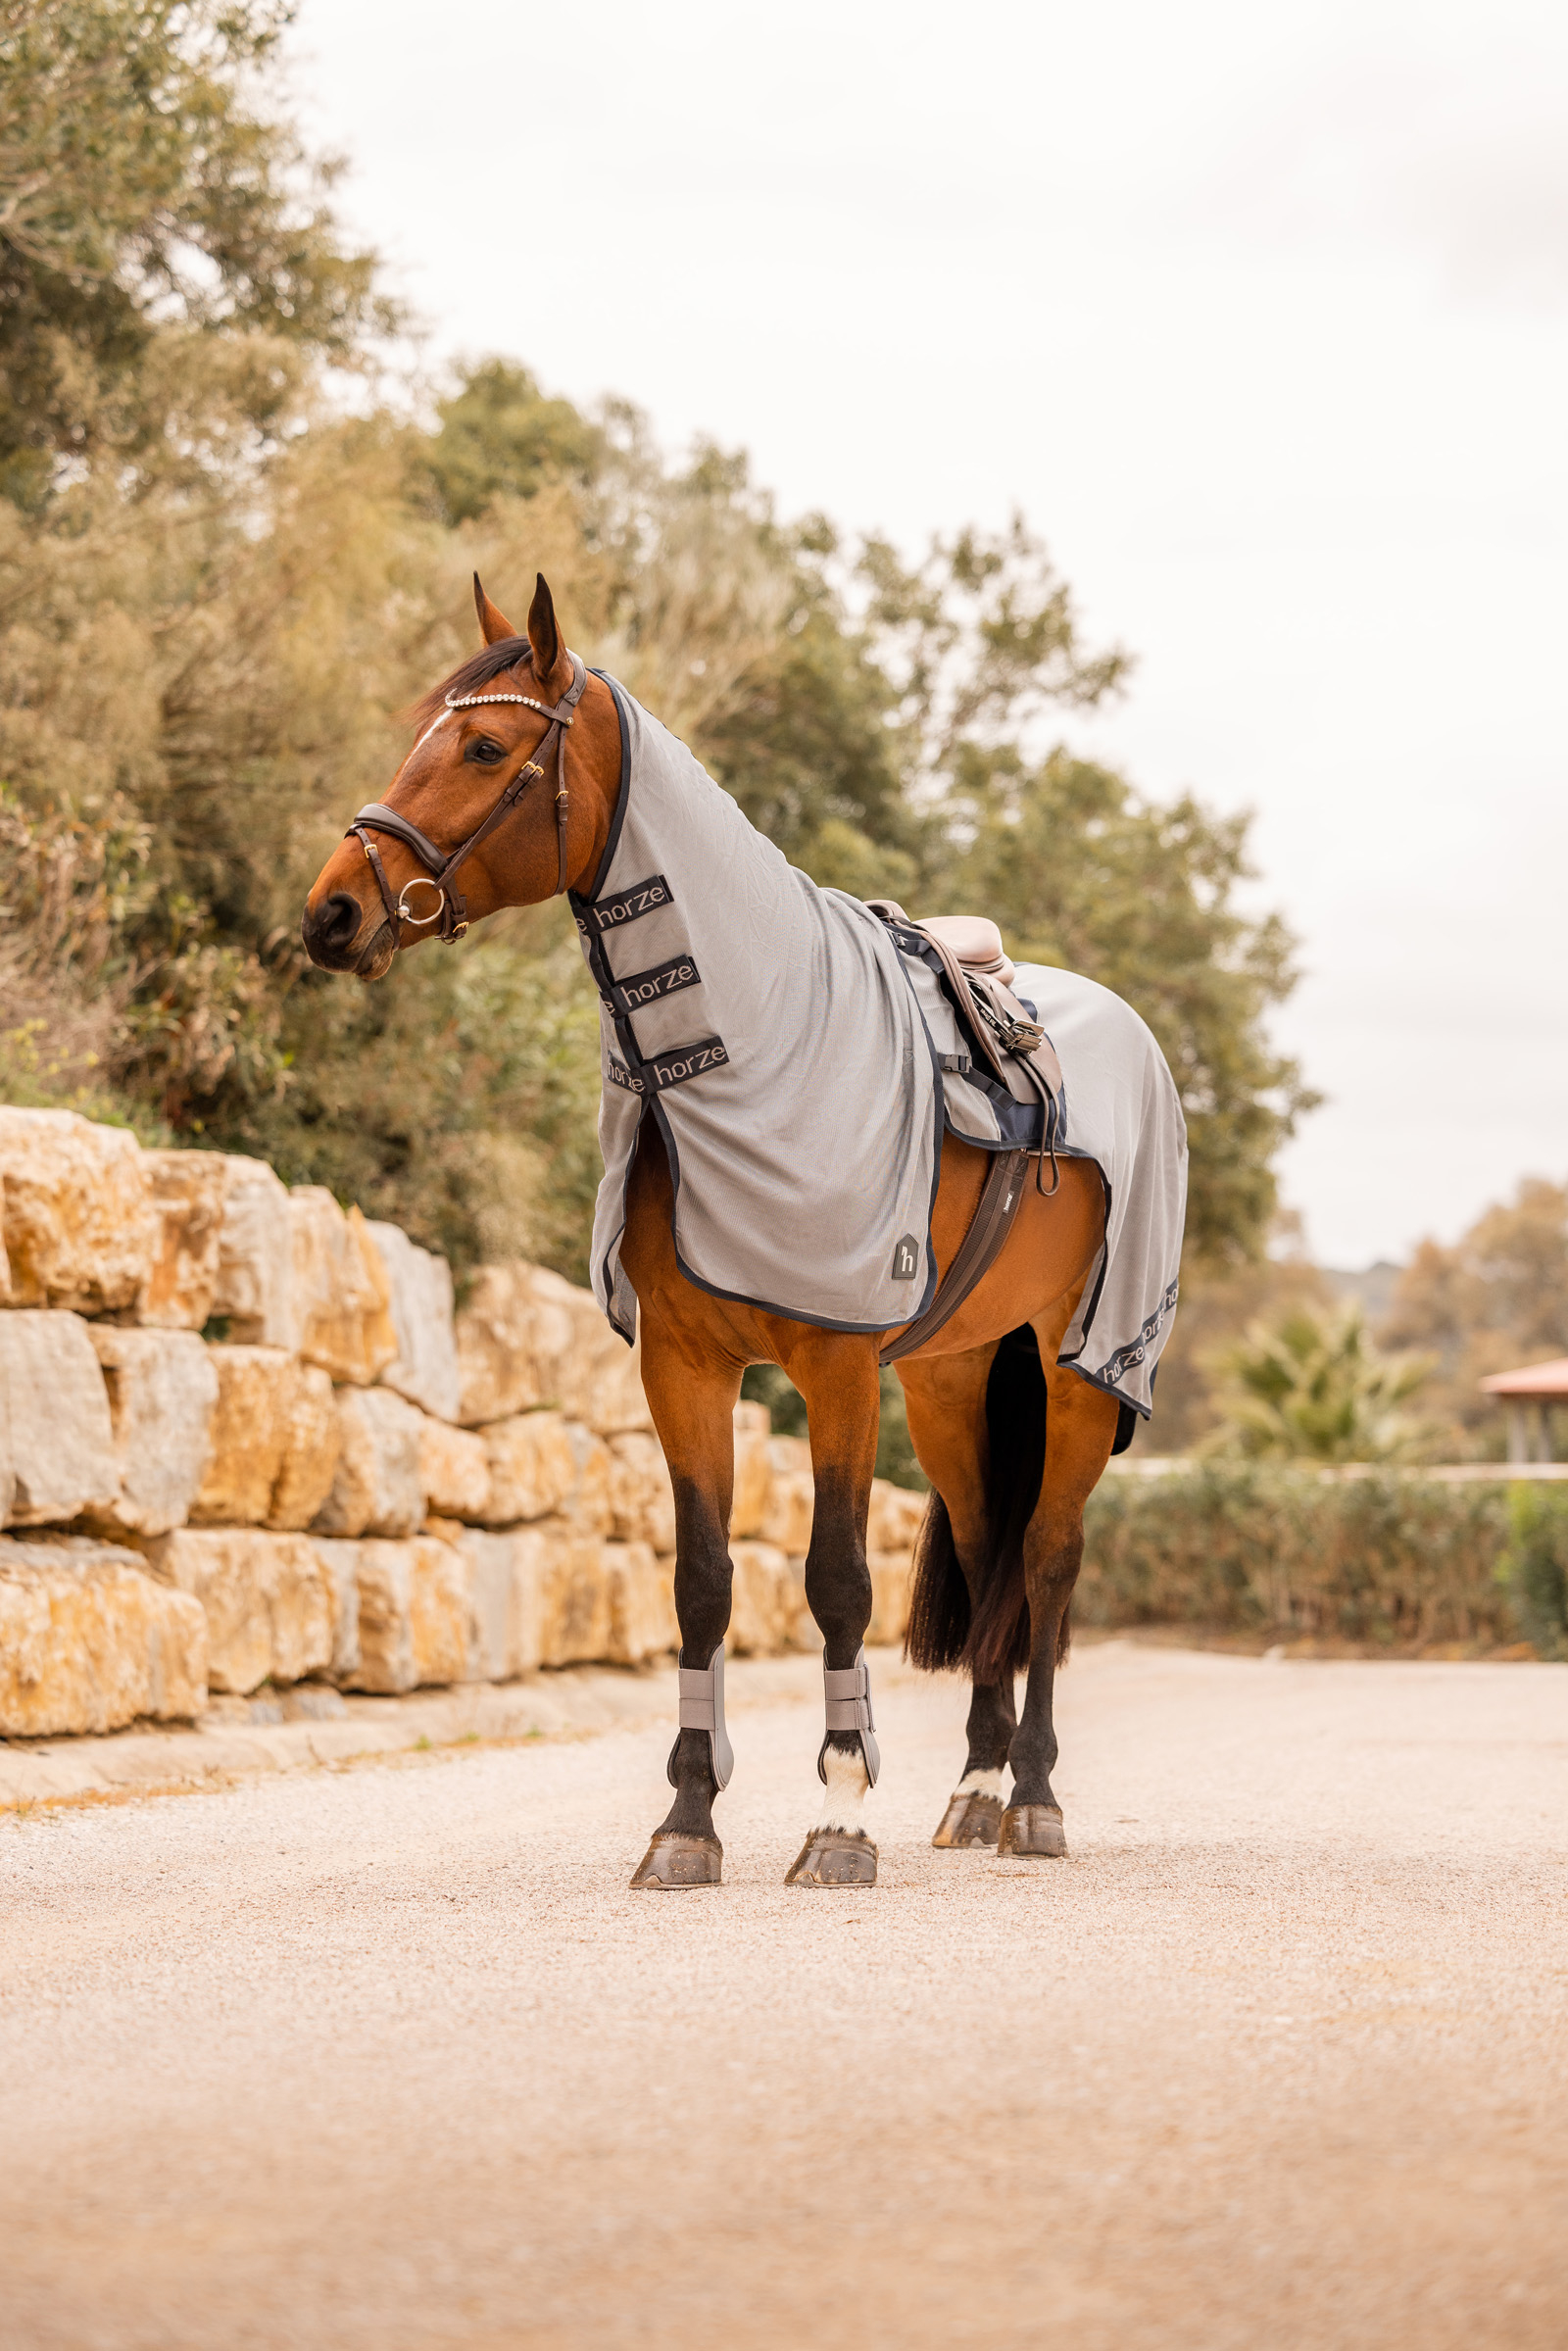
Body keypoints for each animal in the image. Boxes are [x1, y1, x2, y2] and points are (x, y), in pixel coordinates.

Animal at [302, 572, 1185, 1889]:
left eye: (485, 747)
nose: (333, 910)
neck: (758, 1056)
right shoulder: (685, 1366)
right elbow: (703, 1582)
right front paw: (685, 1818)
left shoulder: (836, 1369)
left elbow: (836, 1581)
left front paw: (839, 1816)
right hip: (951, 1377)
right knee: (988, 1552)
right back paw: (973, 1790)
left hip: (1079, 1368)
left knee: (1045, 1558)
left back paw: (1031, 1797)